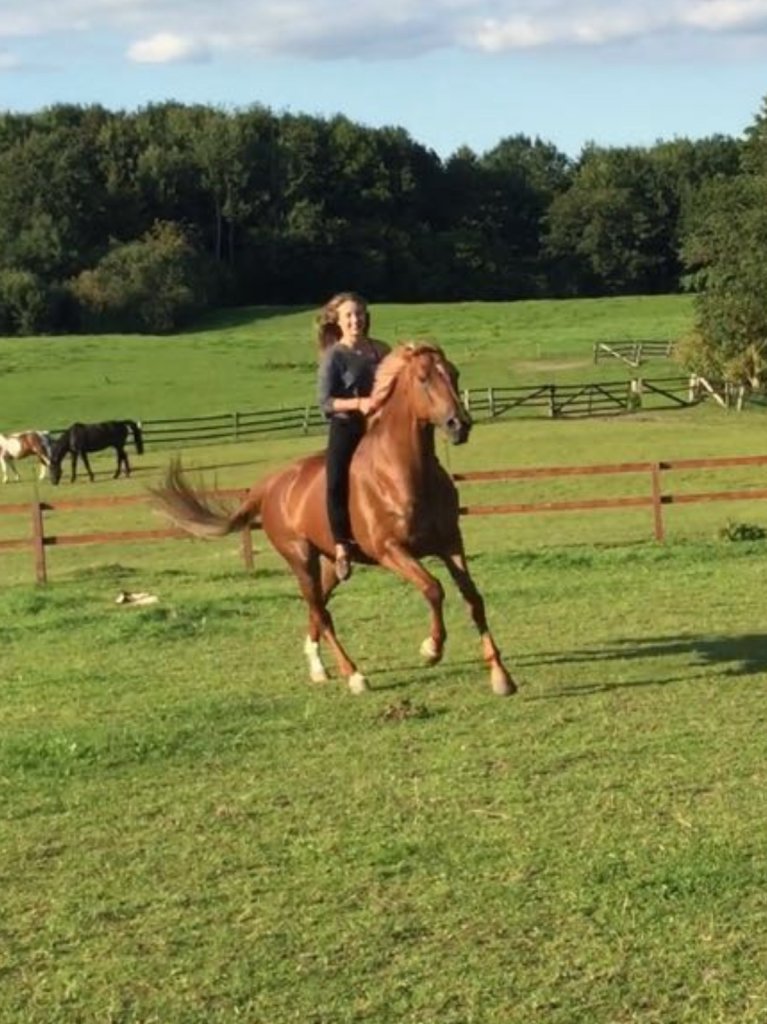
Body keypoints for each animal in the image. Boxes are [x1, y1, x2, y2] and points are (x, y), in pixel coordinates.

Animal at [153, 342, 516, 697]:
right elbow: (433, 588)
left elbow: (473, 599)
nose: (460, 424)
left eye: (454, 373)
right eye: (423, 378)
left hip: (329, 561)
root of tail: (271, 485)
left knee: (319, 607)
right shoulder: (390, 550)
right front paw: (431, 649)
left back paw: (318, 669)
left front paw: (501, 676)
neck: (403, 473)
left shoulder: (451, 543)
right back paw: (354, 675)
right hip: (302, 560)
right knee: (321, 612)